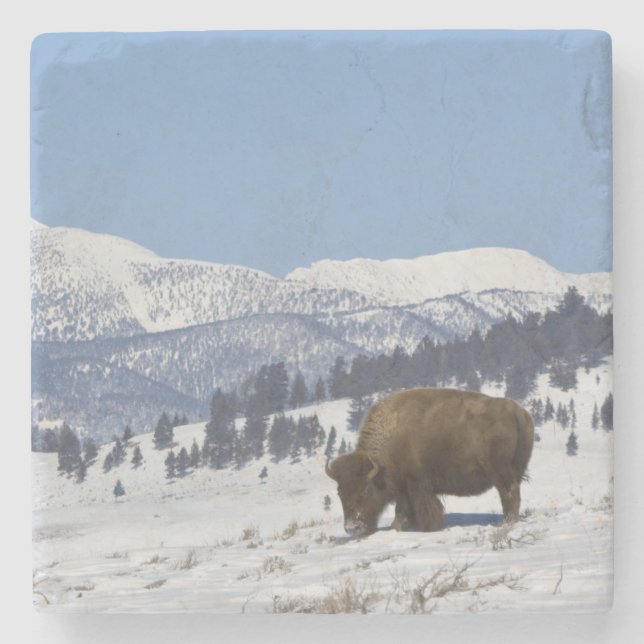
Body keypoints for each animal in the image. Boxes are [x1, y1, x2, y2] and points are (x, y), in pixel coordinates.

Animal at [326, 388, 534, 536]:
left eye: (365, 490)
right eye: (339, 492)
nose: (352, 528)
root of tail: (518, 412)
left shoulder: (417, 485)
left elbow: (423, 508)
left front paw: (429, 528)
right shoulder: (403, 487)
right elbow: (402, 511)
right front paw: (398, 527)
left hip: (502, 474)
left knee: (509, 495)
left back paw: (505, 523)